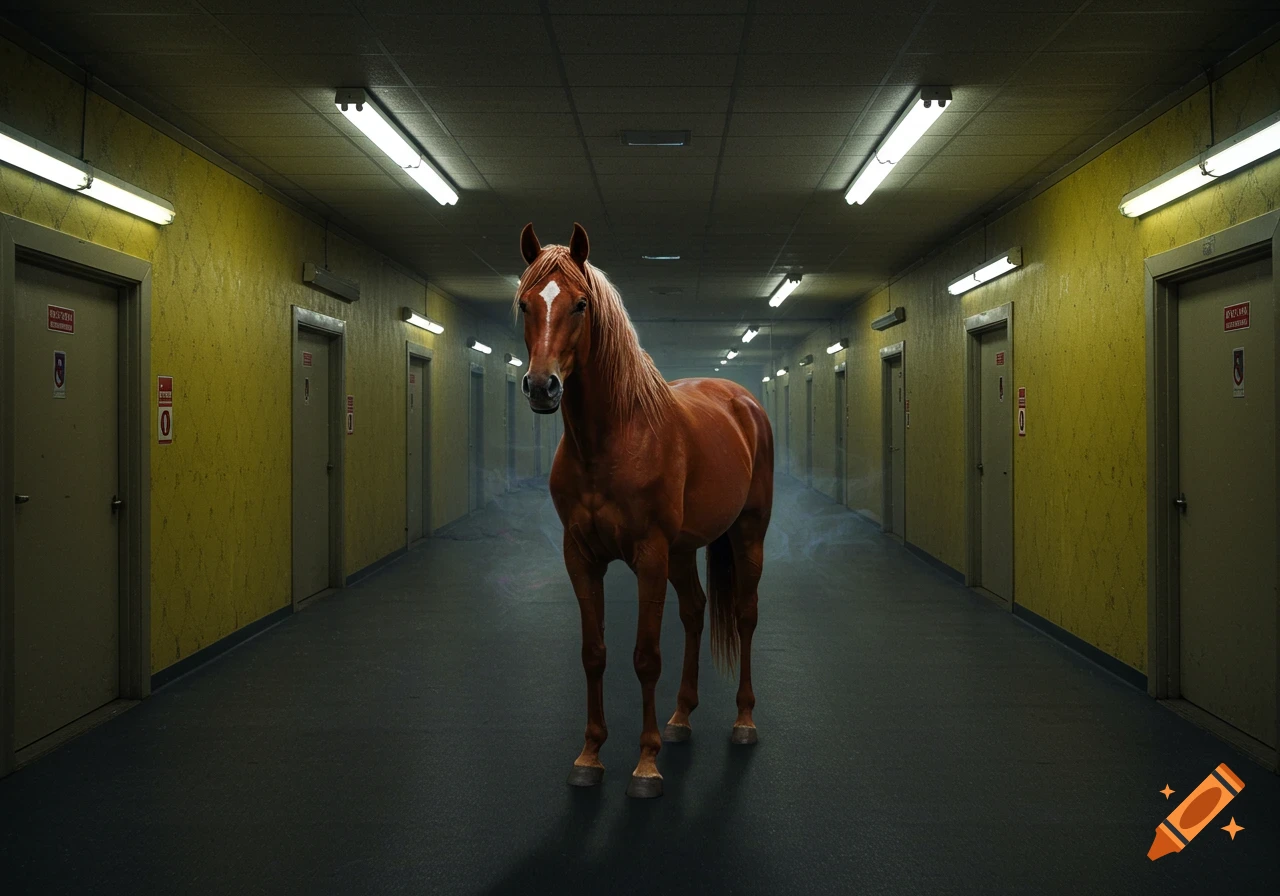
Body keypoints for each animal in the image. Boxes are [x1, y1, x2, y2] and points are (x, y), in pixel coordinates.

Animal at [514, 222, 774, 799]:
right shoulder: (580, 556)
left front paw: (646, 765)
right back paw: (680, 718)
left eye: (581, 304)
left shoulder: (649, 555)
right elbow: (594, 653)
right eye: (524, 304)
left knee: (745, 615)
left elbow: (645, 656)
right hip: (682, 551)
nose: (542, 387)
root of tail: (742, 401)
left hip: (746, 535)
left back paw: (744, 722)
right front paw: (589, 756)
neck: (610, 440)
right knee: (696, 610)